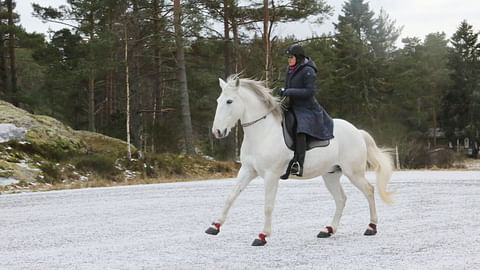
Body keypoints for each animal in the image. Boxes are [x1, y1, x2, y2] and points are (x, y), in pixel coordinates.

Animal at [204, 75, 392, 246]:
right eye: (218, 100)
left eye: (229, 101)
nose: (217, 132)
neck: (263, 133)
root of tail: (357, 131)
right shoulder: (248, 170)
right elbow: (231, 197)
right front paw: (215, 226)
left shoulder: (271, 175)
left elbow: (268, 206)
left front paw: (262, 236)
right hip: (330, 175)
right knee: (341, 199)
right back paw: (328, 230)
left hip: (354, 173)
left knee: (369, 190)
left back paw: (371, 227)